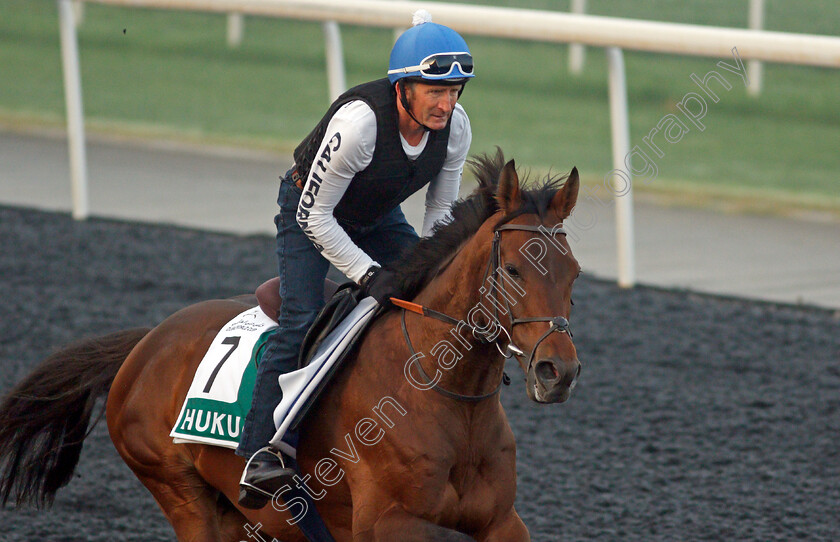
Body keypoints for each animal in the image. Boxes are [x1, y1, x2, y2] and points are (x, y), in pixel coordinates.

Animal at [0, 150, 580, 542]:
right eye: (513, 269)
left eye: (573, 272)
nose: (558, 371)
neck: (446, 397)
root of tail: (146, 343)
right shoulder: (390, 523)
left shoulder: (502, 522)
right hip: (183, 495)